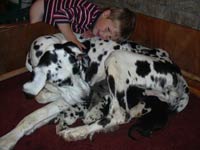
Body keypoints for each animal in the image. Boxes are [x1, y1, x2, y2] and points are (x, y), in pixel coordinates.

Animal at [0, 32, 189, 149]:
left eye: (78, 69)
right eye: (63, 81)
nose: (89, 96)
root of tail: (177, 71)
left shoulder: (69, 99)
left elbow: (32, 116)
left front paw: (9, 138)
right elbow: (40, 99)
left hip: (115, 58)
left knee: (119, 115)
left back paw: (76, 132)